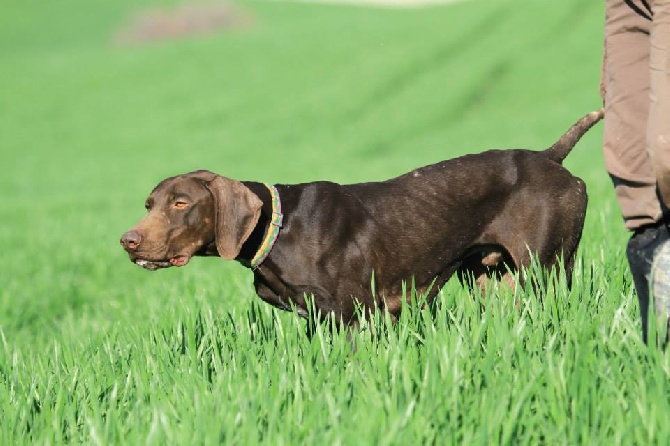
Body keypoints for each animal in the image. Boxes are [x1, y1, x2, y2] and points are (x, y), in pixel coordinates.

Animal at [121, 110, 604, 326]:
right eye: (149, 204)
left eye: (181, 204)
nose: (128, 241)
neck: (280, 229)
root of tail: (550, 157)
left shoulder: (356, 315)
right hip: (491, 279)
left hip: (546, 268)